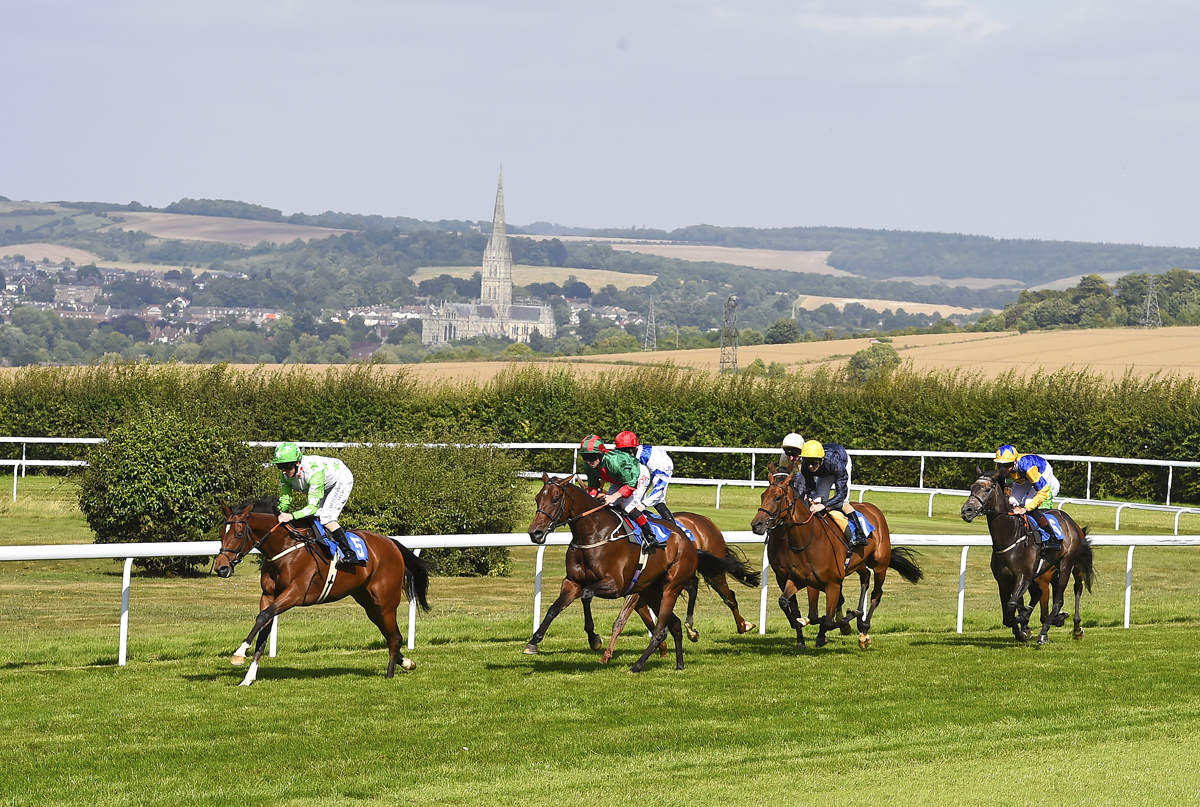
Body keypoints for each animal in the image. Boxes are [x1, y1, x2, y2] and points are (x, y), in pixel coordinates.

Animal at [216, 501, 432, 682]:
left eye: (238, 534)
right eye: (221, 534)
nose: (221, 568)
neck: (284, 548)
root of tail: (391, 543)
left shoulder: (295, 593)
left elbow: (262, 617)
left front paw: (239, 653)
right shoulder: (268, 595)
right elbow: (264, 629)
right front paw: (248, 678)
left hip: (385, 601)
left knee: (394, 636)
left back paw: (390, 674)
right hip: (368, 602)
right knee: (389, 633)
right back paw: (406, 662)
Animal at [525, 475, 739, 672]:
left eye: (555, 499)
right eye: (537, 498)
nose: (535, 533)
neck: (594, 533)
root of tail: (688, 541)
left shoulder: (617, 586)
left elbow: (591, 598)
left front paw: (595, 640)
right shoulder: (572, 583)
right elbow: (554, 608)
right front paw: (533, 641)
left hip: (674, 585)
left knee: (678, 618)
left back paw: (639, 664)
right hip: (652, 590)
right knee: (674, 624)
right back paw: (679, 664)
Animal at [744, 465, 921, 648]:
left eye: (778, 497)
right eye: (763, 496)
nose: (756, 524)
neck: (808, 541)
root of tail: (875, 510)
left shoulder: (832, 583)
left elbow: (826, 619)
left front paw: (842, 622)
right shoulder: (796, 578)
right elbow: (788, 604)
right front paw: (804, 631)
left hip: (880, 565)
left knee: (876, 595)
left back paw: (864, 630)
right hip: (858, 563)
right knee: (865, 578)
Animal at [955, 465, 1099, 643]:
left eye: (988, 489)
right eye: (972, 488)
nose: (966, 510)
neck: (1012, 537)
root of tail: (1070, 521)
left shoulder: (1024, 576)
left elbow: (1013, 606)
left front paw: (1026, 621)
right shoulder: (1004, 580)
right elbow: (1008, 612)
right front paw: (1022, 629)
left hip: (1068, 565)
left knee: (1066, 596)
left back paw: (1051, 631)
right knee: (1043, 596)